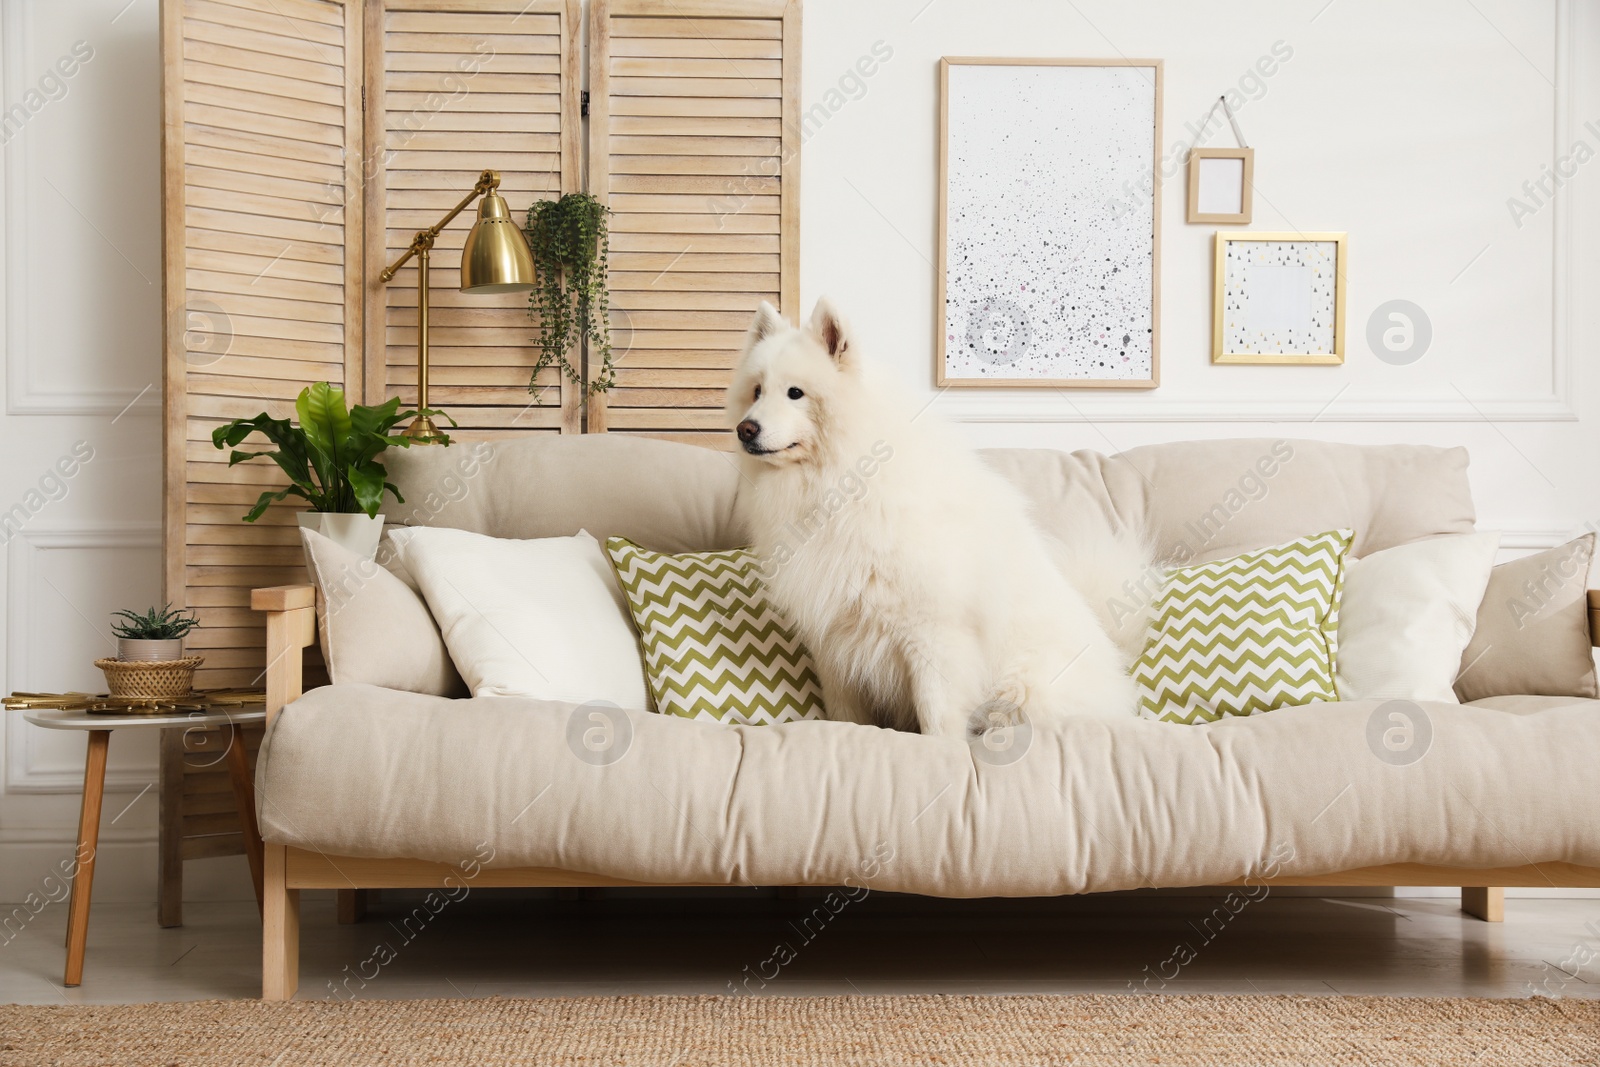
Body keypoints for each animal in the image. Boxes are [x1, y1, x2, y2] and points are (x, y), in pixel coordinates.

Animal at [726, 295, 1152, 739]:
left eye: (795, 393)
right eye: (756, 391)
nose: (745, 429)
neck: (836, 483)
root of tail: (1118, 668)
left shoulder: (933, 631)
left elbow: (938, 714)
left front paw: (942, 748)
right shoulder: (832, 635)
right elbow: (844, 712)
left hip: (1021, 691)